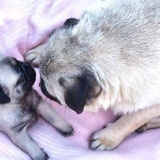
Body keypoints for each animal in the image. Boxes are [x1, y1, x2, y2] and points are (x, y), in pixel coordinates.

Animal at [24, 0, 160, 151]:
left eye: (46, 89)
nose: (39, 83)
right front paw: (40, 51)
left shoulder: (152, 104)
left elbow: (132, 119)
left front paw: (107, 137)